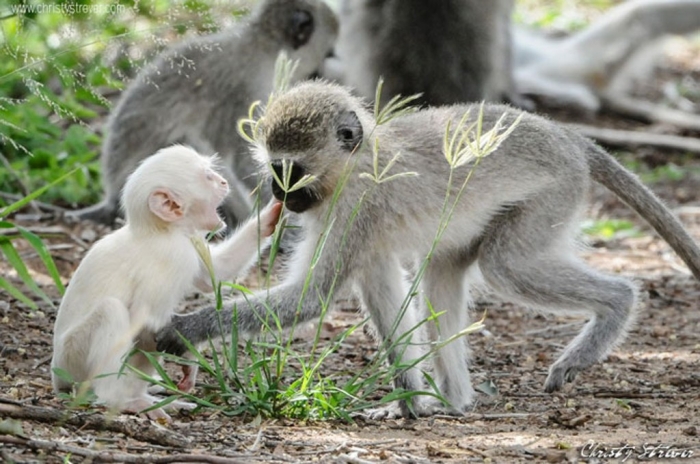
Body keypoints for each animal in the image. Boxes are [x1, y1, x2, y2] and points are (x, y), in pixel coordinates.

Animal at [52, 145, 282, 420]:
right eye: (208, 177)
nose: (223, 182)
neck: (160, 230)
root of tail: (57, 376)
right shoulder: (174, 254)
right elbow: (145, 319)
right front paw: (188, 355)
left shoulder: (190, 241)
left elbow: (214, 274)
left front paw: (271, 215)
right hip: (72, 358)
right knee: (113, 312)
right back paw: (120, 399)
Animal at [72, 0, 338, 228]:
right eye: (328, 54)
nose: (325, 76)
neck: (261, 46)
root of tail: (112, 196)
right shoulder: (247, 89)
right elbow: (245, 160)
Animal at [156, 81, 700, 418]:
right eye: (275, 168)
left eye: (292, 170)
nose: (280, 194)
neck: (359, 163)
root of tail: (568, 136)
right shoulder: (364, 232)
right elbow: (380, 292)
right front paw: (409, 404)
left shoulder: (357, 206)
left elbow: (311, 298)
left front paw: (181, 331)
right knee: (440, 273)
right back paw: (454, 400)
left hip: (553, 195)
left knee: (506, 265)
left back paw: (615, 308)